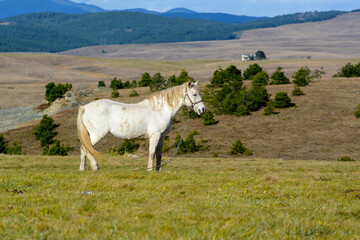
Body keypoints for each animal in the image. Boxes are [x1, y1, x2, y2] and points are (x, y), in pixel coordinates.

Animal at [77, 81, 207, 172]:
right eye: (194, 94)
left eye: (200, 93)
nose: (203, 110)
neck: (161, 109)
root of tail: (85, 107)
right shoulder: (155, 135)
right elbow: (151, 153)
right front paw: (149, 170)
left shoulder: (162, 137)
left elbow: (159, 154)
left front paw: (158, 169)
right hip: (97, 135)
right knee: (85, 148)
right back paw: (94, 166)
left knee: (84, 149)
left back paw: (83, 169)